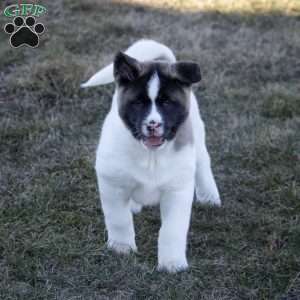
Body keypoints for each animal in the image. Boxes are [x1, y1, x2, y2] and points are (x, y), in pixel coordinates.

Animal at [82, 39, 220, 272]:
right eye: (138, 102)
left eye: (167, 102)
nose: (153, 124)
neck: (151, 155)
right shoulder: (112, 184)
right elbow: (119, 220)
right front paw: (122, 248)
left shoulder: (177, 191)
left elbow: (172, 231)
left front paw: (172, 263)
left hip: (197, 136)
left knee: (203, 164)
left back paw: (209, 196)